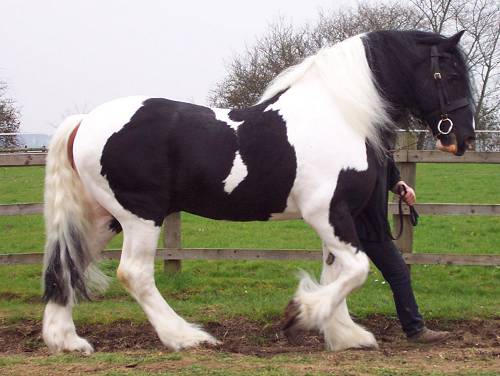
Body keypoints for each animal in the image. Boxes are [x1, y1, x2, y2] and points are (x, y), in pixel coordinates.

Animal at [42, 30, 472, 354]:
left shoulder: (339, 217)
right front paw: (300, 315)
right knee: (134, 274)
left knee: (68, 263)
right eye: (451, 75)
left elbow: (336, 271)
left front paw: (342, 333)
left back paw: (66, 341)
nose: (463, 138)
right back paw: (186, 337)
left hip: (103, 217)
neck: (339, 114)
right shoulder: (328, 212)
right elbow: (356, 269)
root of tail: (84, 121)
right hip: (140, 216)